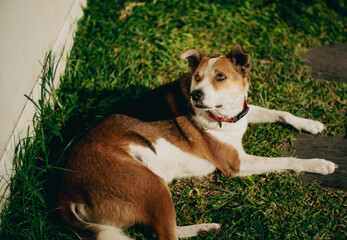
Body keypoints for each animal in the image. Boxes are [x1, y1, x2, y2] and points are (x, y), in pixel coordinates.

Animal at [58, 44, 338, 239]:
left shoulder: (244, 112)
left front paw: (310, 124)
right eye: (197, 77)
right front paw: (319, 164)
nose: (196, 95)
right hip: (151, 186)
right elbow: (287, 159)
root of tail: (66, 190)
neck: (225, 114)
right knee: (165, 236)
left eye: (220, 77)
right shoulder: (237, 163)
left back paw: (206, 229)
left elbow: (281, 113)